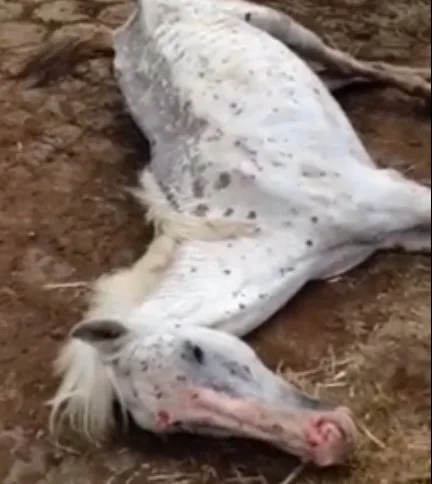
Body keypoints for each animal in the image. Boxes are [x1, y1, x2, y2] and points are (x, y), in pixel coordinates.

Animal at [18, 0, 430, 468]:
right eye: (177, 424)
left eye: (194, 350)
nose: (328, 438)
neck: (266, 219)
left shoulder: (399, 198)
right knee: (338, 76)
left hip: (280, 24)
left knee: (351, 62)